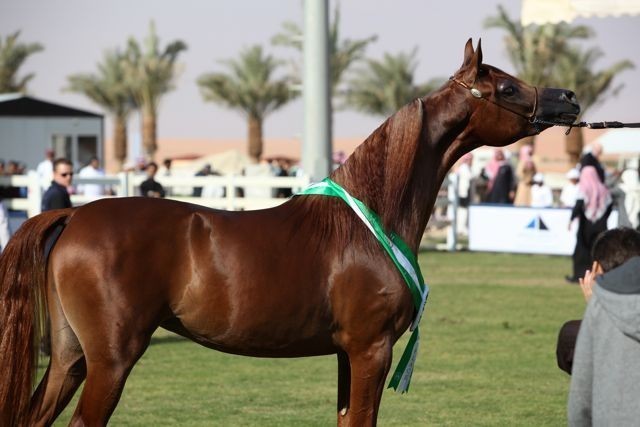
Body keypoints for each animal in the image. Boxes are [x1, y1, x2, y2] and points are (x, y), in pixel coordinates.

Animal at [0, 39, 579, 426]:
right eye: (506, 87)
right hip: (111, 361)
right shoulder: (371, 350)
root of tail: (75, 216)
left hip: (70, 359)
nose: (569, 99)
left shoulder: (348, 354)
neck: (365, 225)